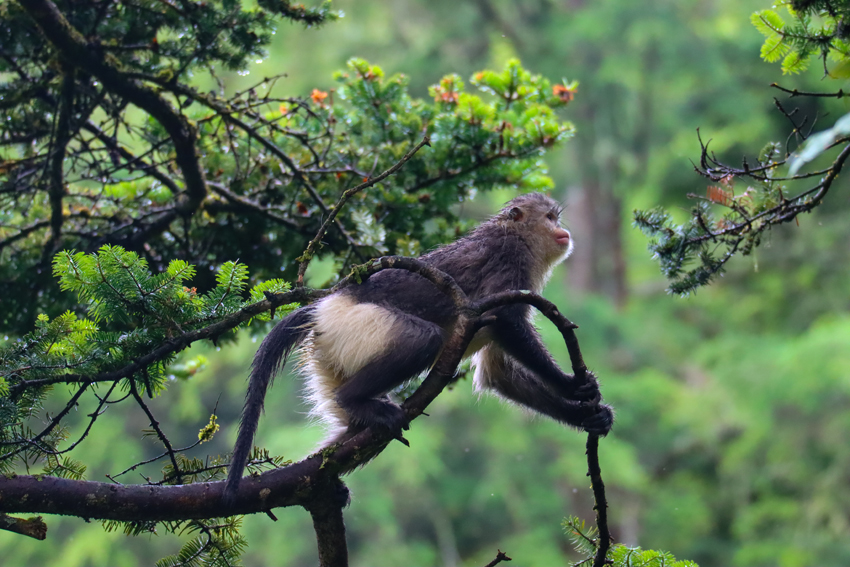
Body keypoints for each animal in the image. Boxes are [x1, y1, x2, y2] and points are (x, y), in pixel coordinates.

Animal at [223, 193, 613, 503]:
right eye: (549, 218)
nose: (563, 231)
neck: (517, 236)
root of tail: (325, 305)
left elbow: (497, 373)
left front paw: (589, 416)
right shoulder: (508, 259)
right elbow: (505, 322)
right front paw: (573, 386)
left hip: (331, 352)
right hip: (353, 325)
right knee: (424, 339)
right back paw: (355, 399)